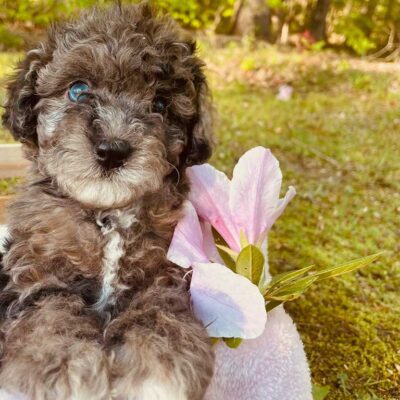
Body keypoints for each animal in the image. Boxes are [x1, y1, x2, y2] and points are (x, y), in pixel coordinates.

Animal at [0, 3, 216, 400]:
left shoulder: (164, 268)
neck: (108, 214)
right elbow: (50, 310)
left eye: (160, 104)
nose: (113, 151)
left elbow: (160, 308)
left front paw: (160, 366)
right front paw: (65, 366)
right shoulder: (36, 267)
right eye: (78, 90)